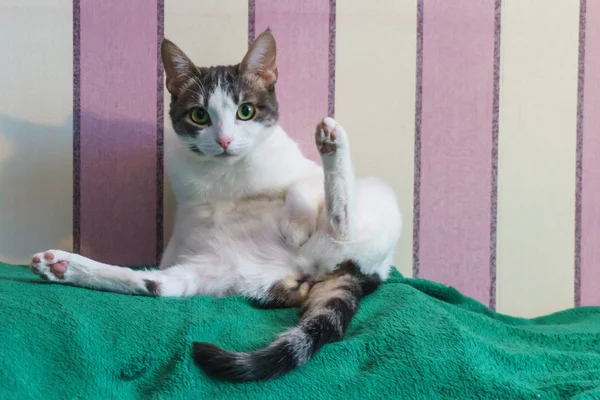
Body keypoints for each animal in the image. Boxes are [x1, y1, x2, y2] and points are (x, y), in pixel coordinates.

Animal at [29, 28, 404, 382]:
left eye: (245, 111)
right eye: (199, 115)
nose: (223, 140)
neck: (228, 176)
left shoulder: (301, 170)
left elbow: (301, 186)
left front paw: (296, 223)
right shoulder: (187, 202)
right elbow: (180, 235)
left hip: (374, 202)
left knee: (341, 219)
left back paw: (331, 143)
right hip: (230, 274)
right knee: (158, 285)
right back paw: (63, 267)